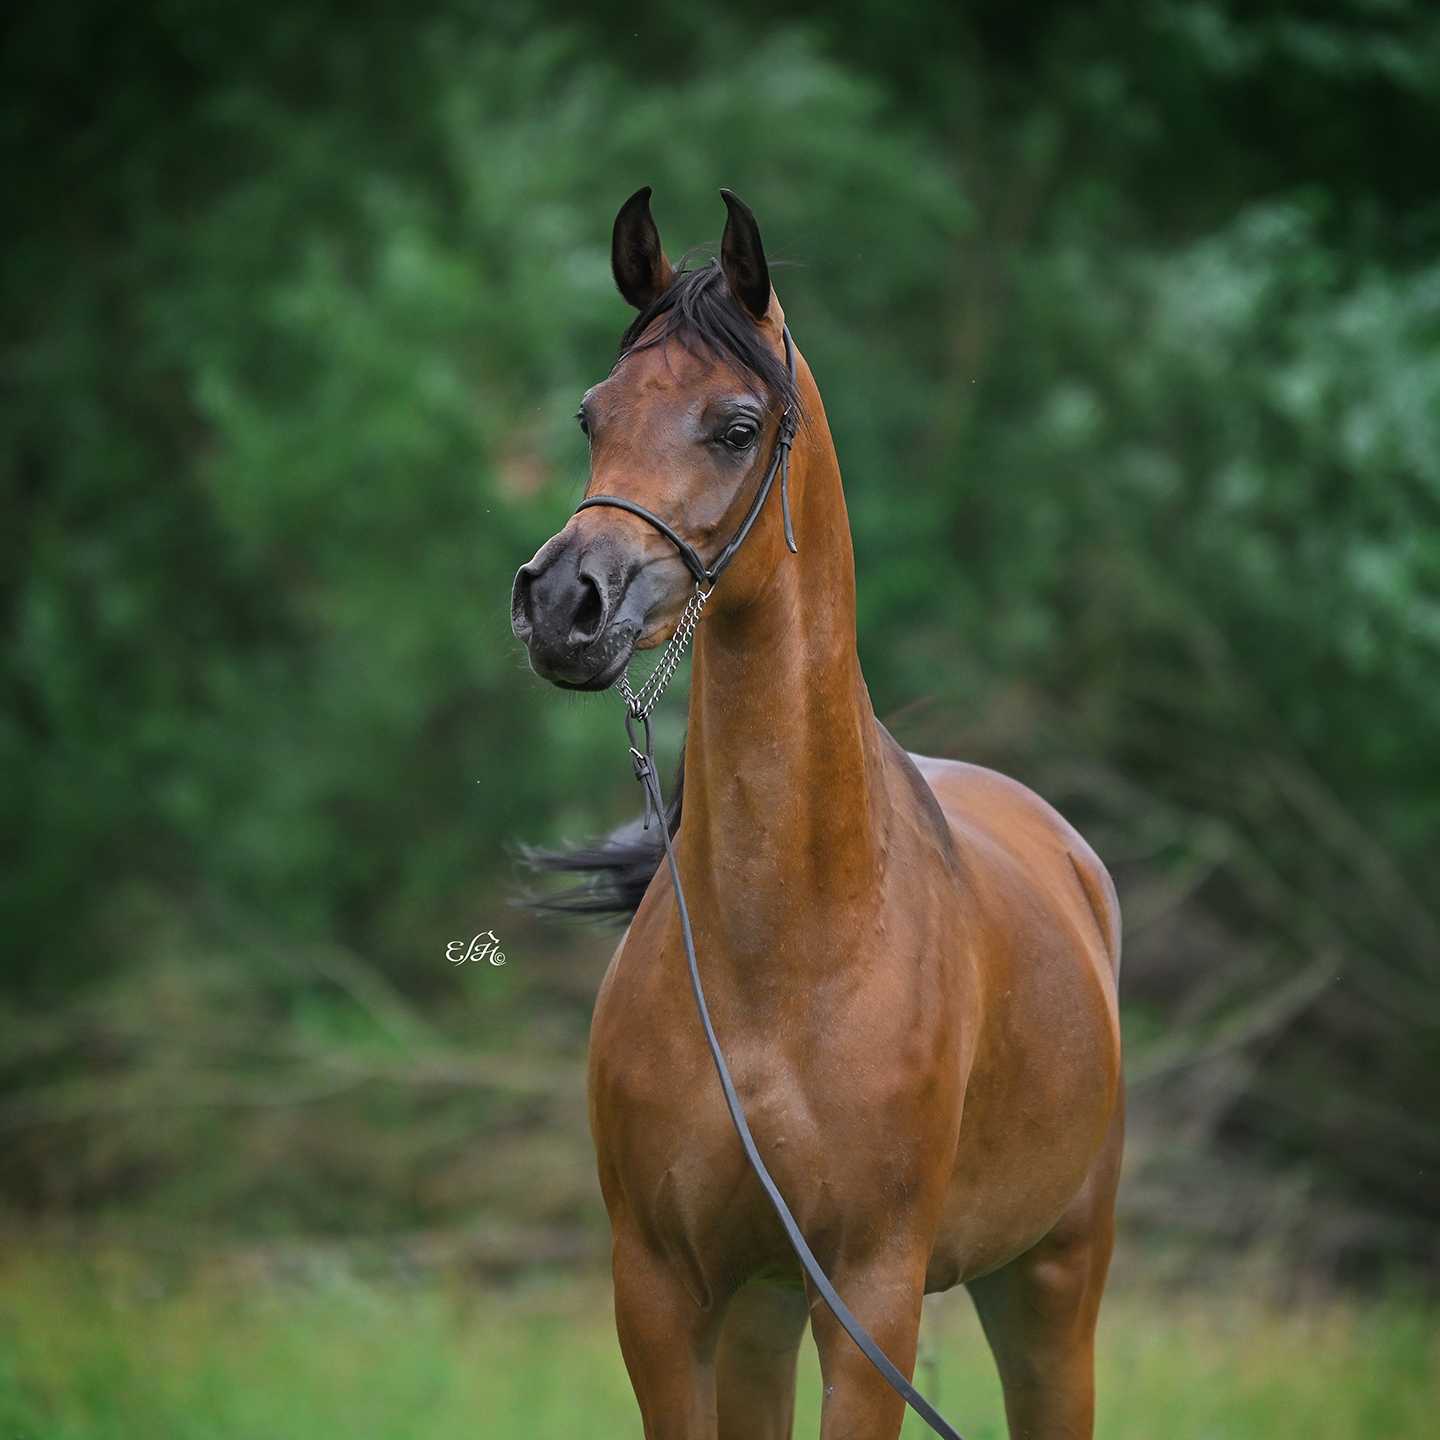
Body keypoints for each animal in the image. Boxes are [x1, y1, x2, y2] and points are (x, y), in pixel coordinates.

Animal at [510, 187, 1124, 1440]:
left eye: (737, 424)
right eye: (594, 415)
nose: (563, 604)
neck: (780, 953)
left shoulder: (872, 1296)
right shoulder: (661, 1291)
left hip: (1051, 1284)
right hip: (762, 1307)